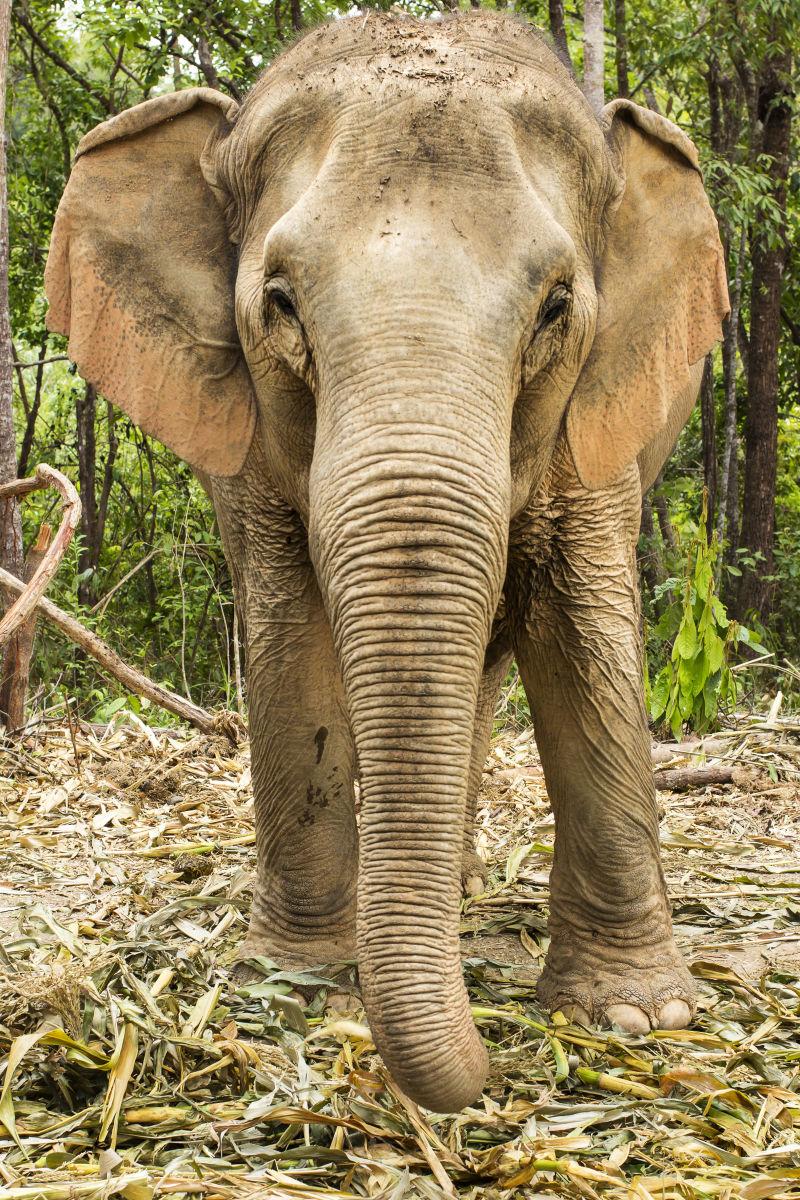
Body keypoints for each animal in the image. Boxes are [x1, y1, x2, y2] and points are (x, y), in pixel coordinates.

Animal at [43, 11, 734, 1113]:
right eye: (279, 301)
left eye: (556, 306)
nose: (492, 1067)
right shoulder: (250, 444)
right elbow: (291, 647)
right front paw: (294, 982)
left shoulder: (598, 424)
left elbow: (583, 641)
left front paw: (635, 1017)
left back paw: (455, 889)